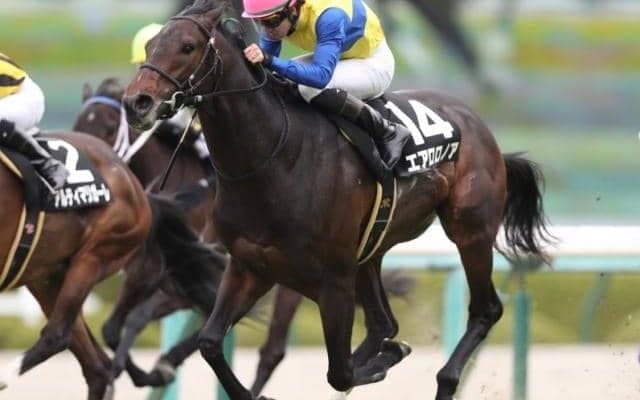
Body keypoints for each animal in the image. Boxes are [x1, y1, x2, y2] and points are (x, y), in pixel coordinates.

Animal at [73, 77, 415, 396]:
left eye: (107, 128)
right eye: (78, 126)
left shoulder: (196, 281)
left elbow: (143, 318)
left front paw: (159, 368)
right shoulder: (148, 276)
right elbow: (113, 327)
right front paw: (132, 370)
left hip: (294, 282)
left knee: (273, 350)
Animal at [123, 2, 551, 399]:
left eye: (188, 46)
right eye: (151, 45)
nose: (137, 102)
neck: (273, 159)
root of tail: (477, 124)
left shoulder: (332, 281)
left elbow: (340, 372)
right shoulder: (249, 266)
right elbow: (210, 342)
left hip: (469, 230)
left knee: (485, 310)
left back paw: (443, 377)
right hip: (370, 251)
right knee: (383, 323)